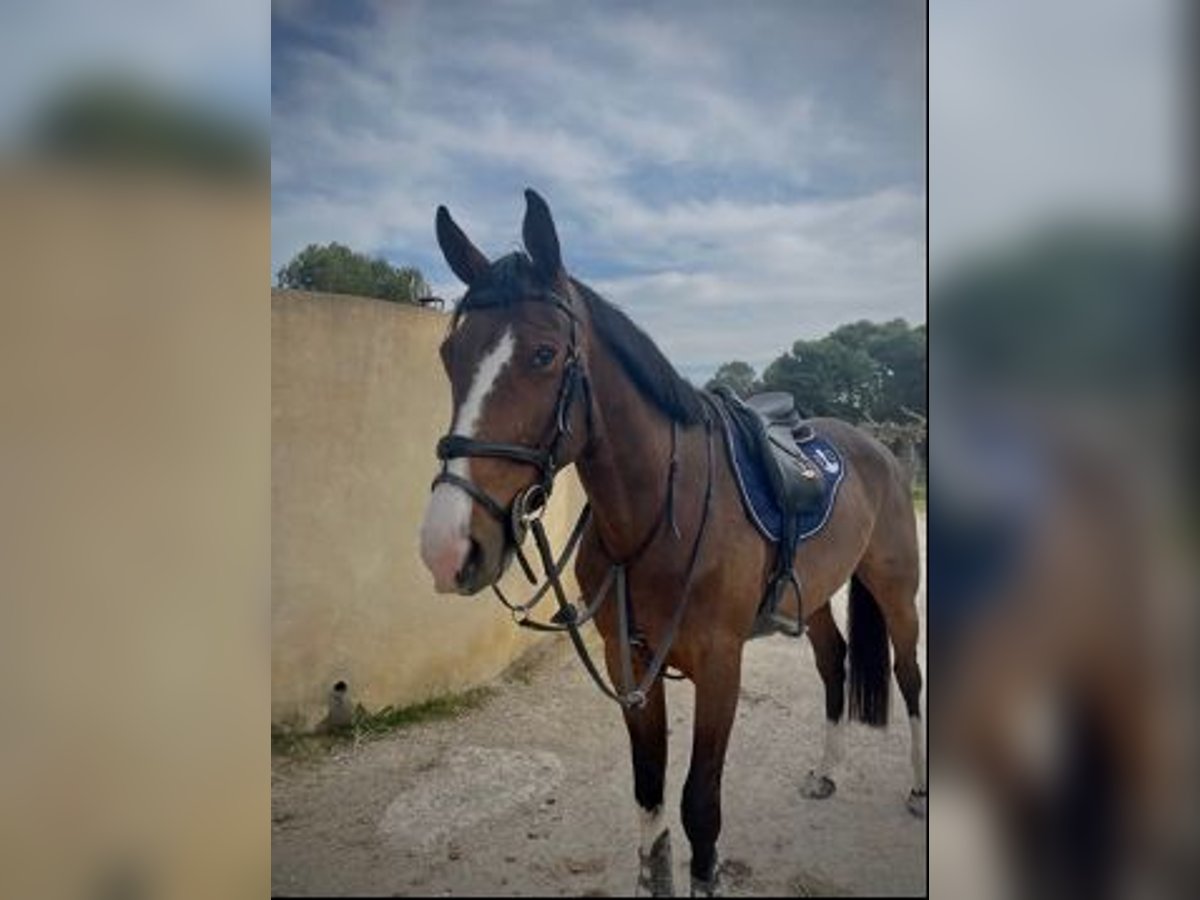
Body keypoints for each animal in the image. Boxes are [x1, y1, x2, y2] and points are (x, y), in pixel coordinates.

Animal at [417, 188, 921, 897]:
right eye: (449, 357)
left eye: (543, 354)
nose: (448, 546)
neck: (660, 514)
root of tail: (878, 448)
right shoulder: (629, 661)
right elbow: (650, 799)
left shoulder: (720, 665)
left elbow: (699, 805)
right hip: (817, 597)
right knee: (834, 664)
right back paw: (827, 773)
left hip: (896, 589)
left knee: (909, 676)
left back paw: (920, 790)